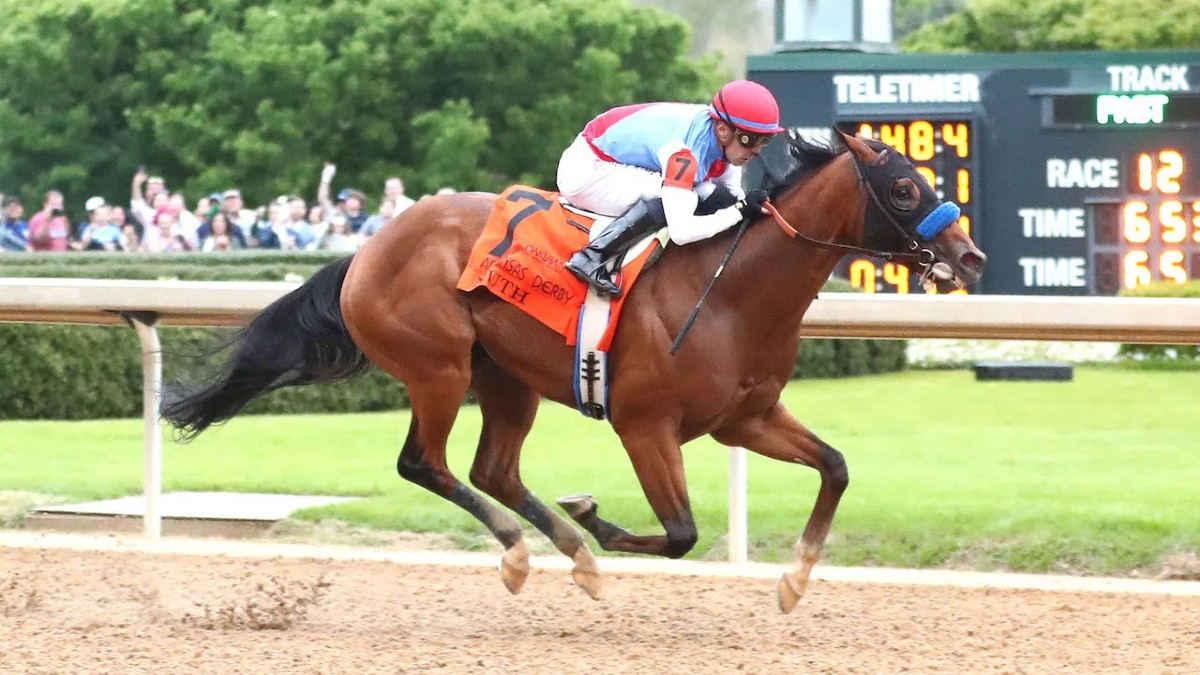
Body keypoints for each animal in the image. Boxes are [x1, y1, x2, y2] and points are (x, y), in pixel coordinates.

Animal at [162, 130, 984, 610]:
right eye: (905, 187)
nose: (971, 256)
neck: (732, 289)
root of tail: (366, 249)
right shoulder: (645, 425)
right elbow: (680, 532)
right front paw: (595, 514)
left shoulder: (745, 418)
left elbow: (836, 467)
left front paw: (794, 576)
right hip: (438, 367)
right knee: (424, 463)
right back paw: (532, 550)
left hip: (504, 376)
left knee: (492, 469)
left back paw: (570, 554)